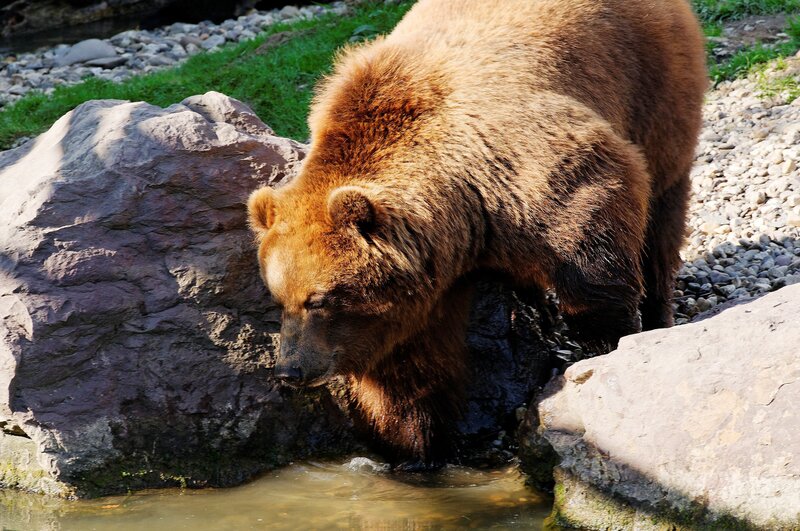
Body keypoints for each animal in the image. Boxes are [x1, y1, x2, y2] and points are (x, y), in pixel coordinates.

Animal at [247, 0, 707, 467]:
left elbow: (593, 242)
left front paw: (602, 340)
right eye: (279, 298)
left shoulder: (522, 170)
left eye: (319, 299)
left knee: (662, 211)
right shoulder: (425, 276)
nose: (290, 370)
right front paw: (414, 445)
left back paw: (655, 313)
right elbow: (409, 369)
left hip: (652, 84)